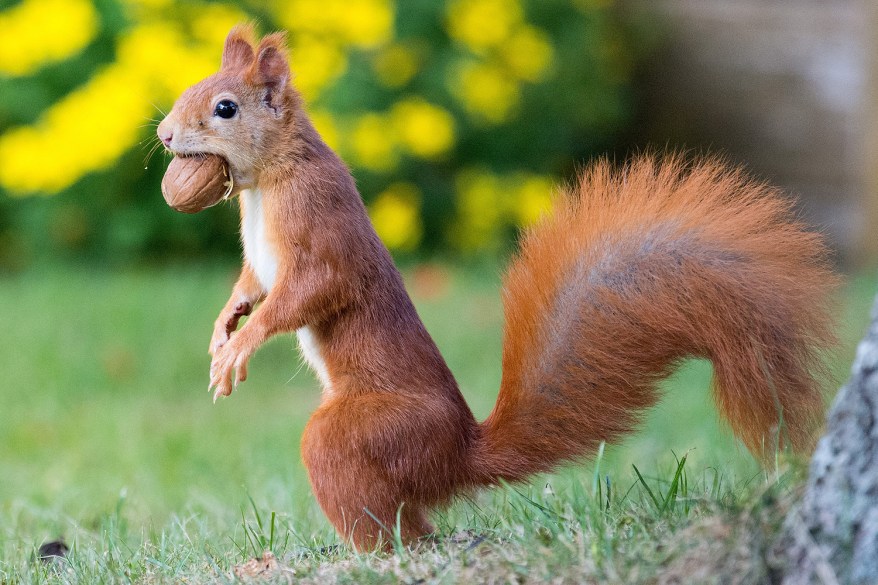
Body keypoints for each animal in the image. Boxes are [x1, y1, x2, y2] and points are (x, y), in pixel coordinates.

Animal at [156, 25, 840, 548]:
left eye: (225, 108)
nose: (162, 135)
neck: (266, 184)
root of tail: (457, 455)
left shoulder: (319, 226)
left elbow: (310, 292)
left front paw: (242, 347)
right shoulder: (260, 259)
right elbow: (251, 284)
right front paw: (225, 325)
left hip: (365, 435)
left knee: (392, 519)